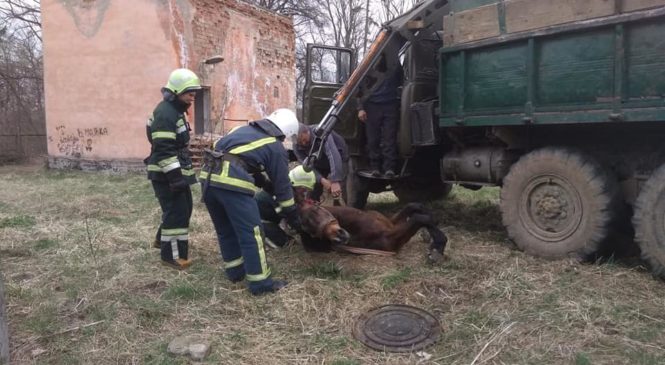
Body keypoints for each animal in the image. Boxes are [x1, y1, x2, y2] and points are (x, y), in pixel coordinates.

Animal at [294, 186, 446, 260]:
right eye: (310, 231)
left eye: (316, 208)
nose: (340, 237)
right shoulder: (391, 240)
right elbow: (419, 218)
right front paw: (438, 247)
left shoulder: (391, 222)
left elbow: (415, 207)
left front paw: (430, 232)